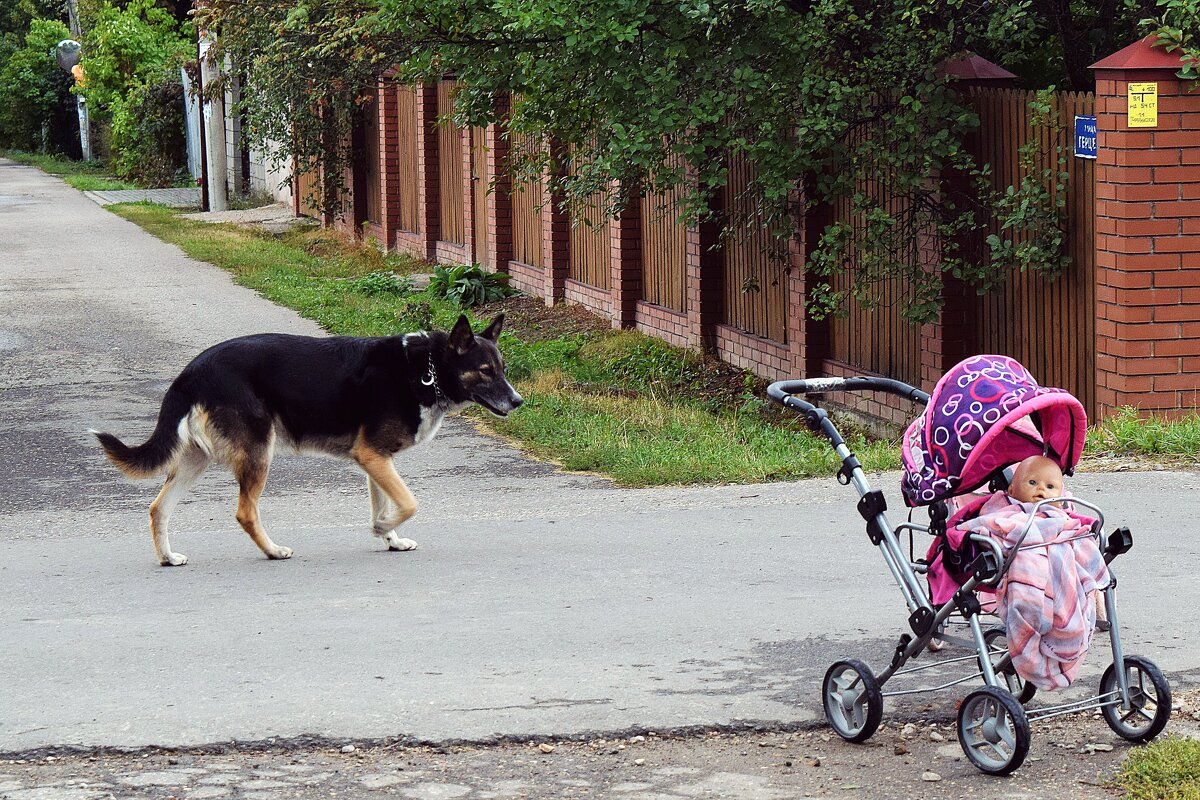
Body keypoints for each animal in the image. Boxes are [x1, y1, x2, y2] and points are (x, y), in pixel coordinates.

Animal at [91, 316, 523, 566]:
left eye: (502, 368)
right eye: (485, 371)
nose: (519, 401)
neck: (425, 369)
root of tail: (191, 371)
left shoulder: (374, 460)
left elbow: (387, 502)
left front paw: (390, 538)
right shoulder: (372, 456)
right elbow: (409, 502)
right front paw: (383, 528)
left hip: (196, 459)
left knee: (158, 508)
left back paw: (167, 557)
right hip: (258, 452)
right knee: (245, 512)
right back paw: (273, 551)